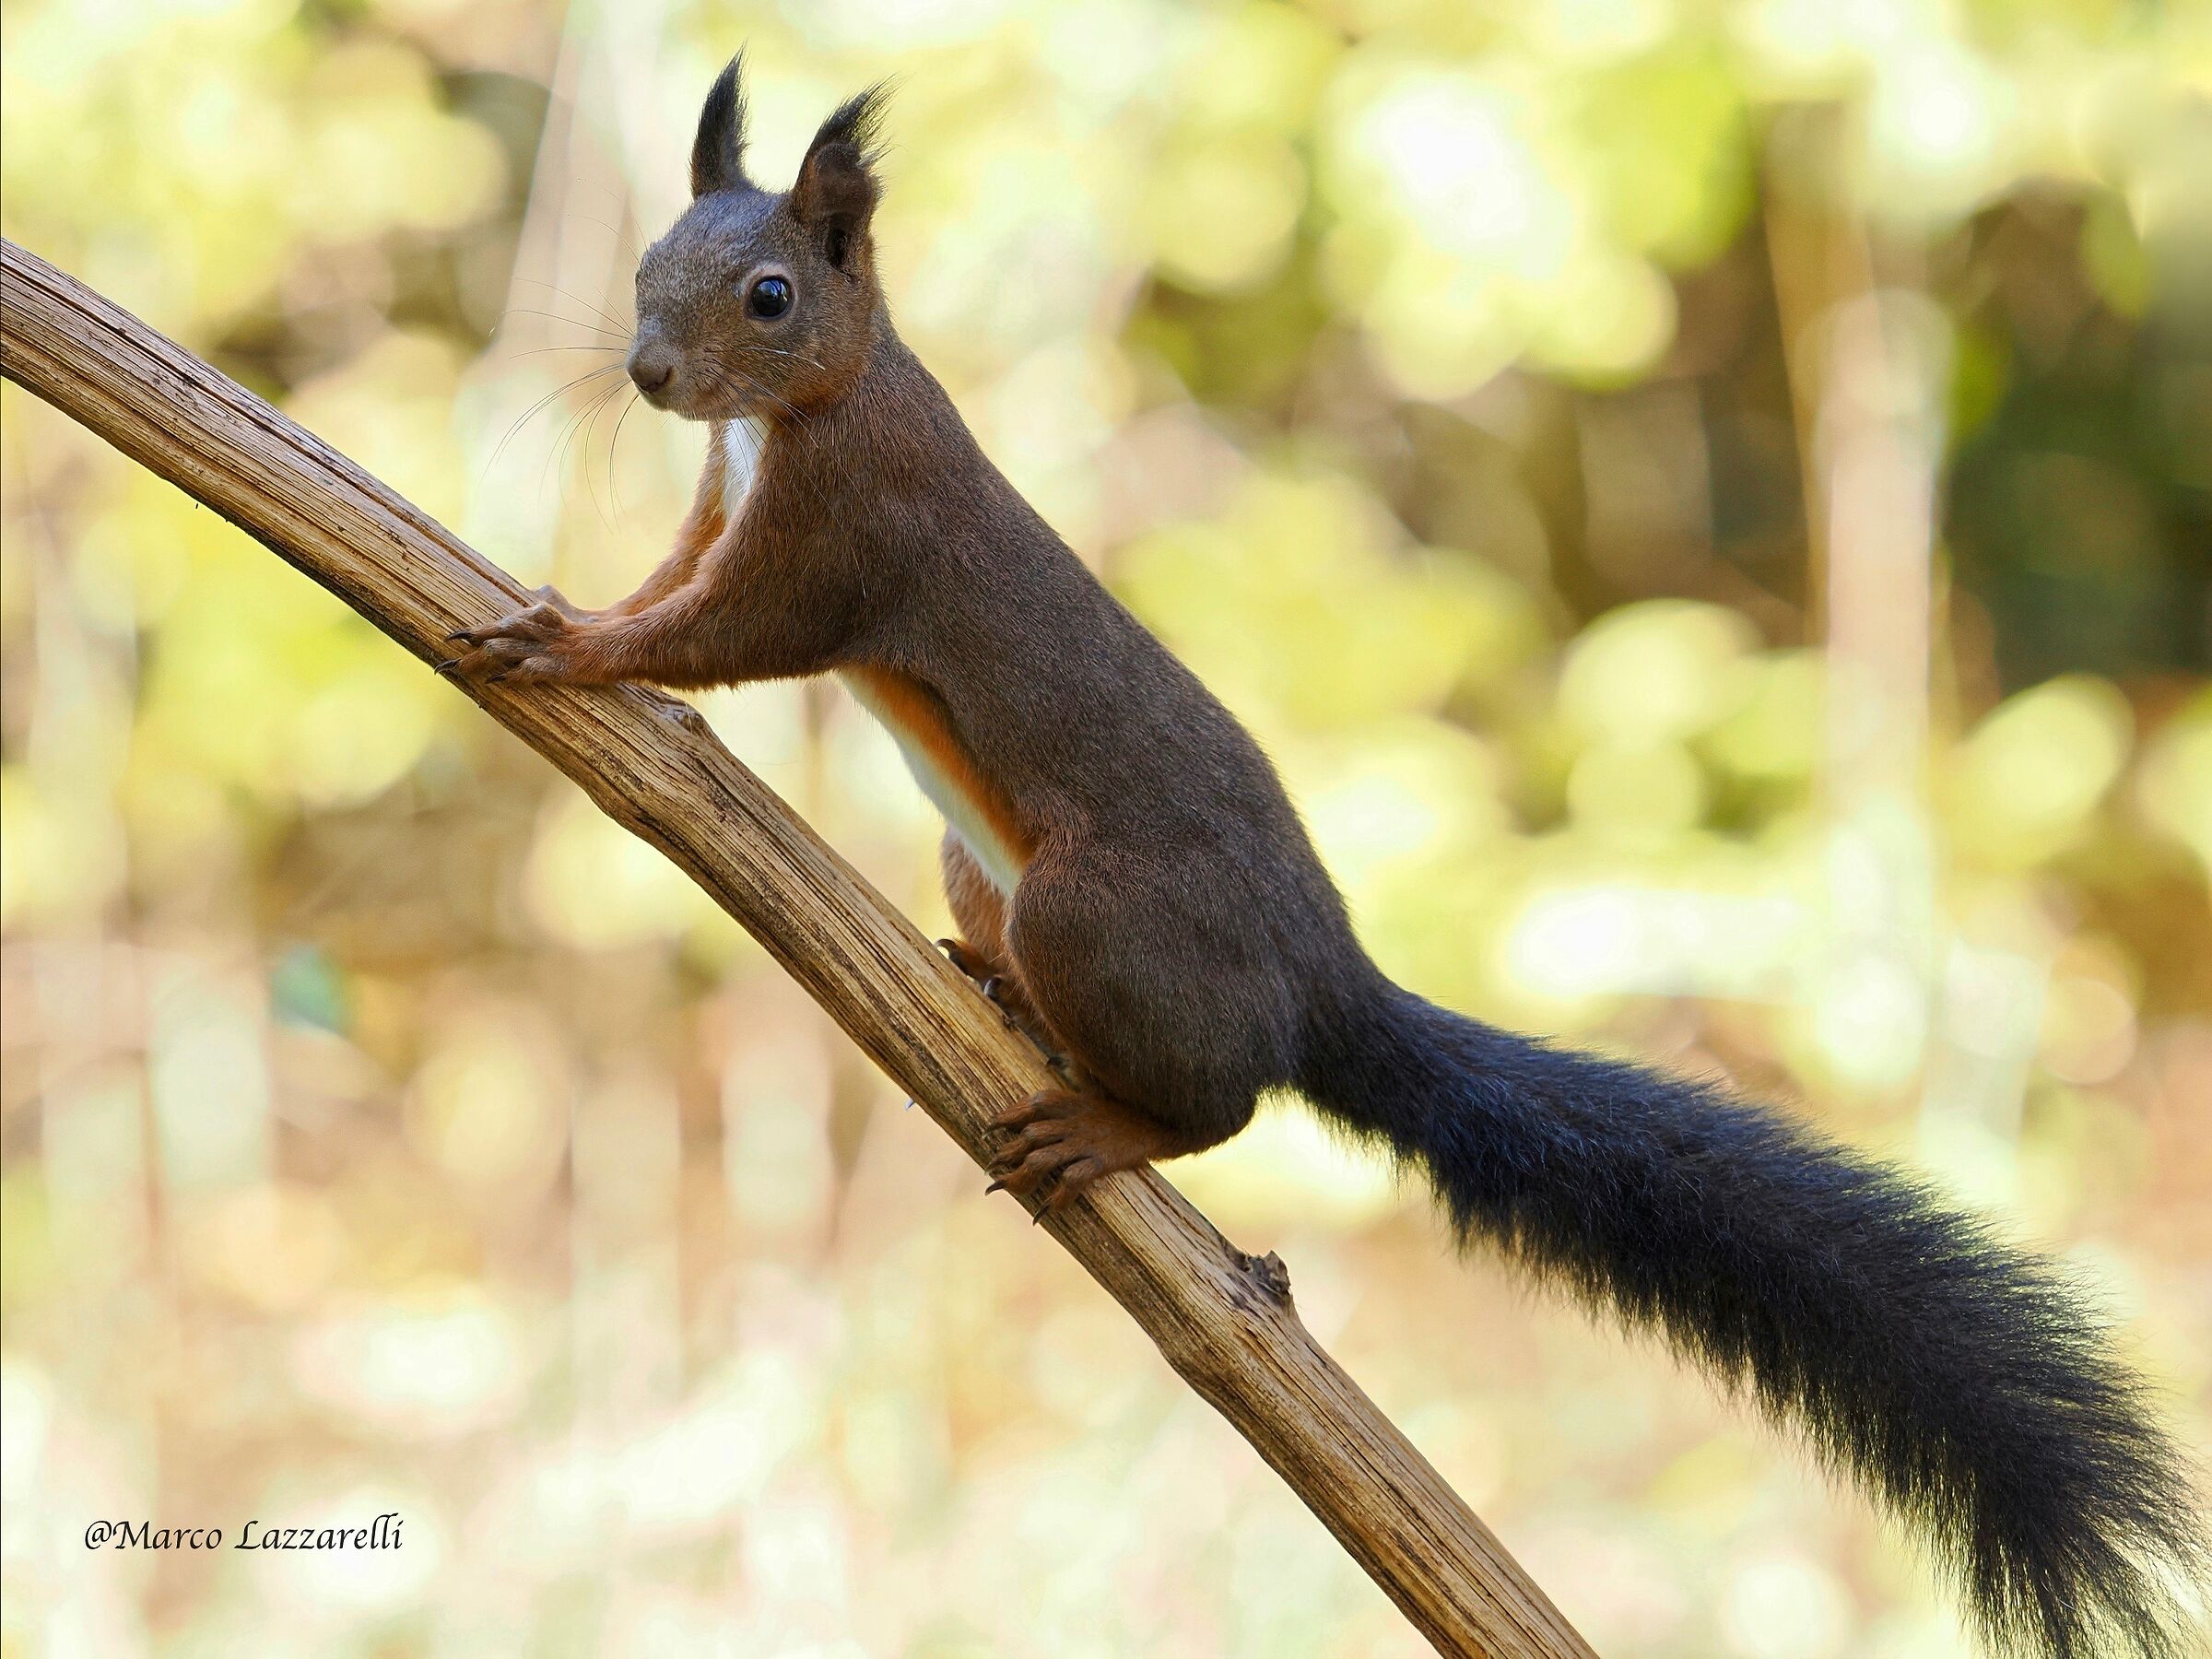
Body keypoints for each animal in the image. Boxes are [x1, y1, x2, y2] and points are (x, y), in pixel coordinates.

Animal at [447, 58, 2205, 1656]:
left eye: (769, 294)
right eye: (648, 265)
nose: (651, 371)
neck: (796, 414)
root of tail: (1323, 984)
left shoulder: (844, 534)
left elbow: (724, 634)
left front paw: (574, 651)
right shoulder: (721, 500)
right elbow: (672, 581)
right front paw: (562, 608)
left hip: (1097, 910)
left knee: (1223, 1102)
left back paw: (1107, 1126)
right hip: (984, 872)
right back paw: (991, 999)